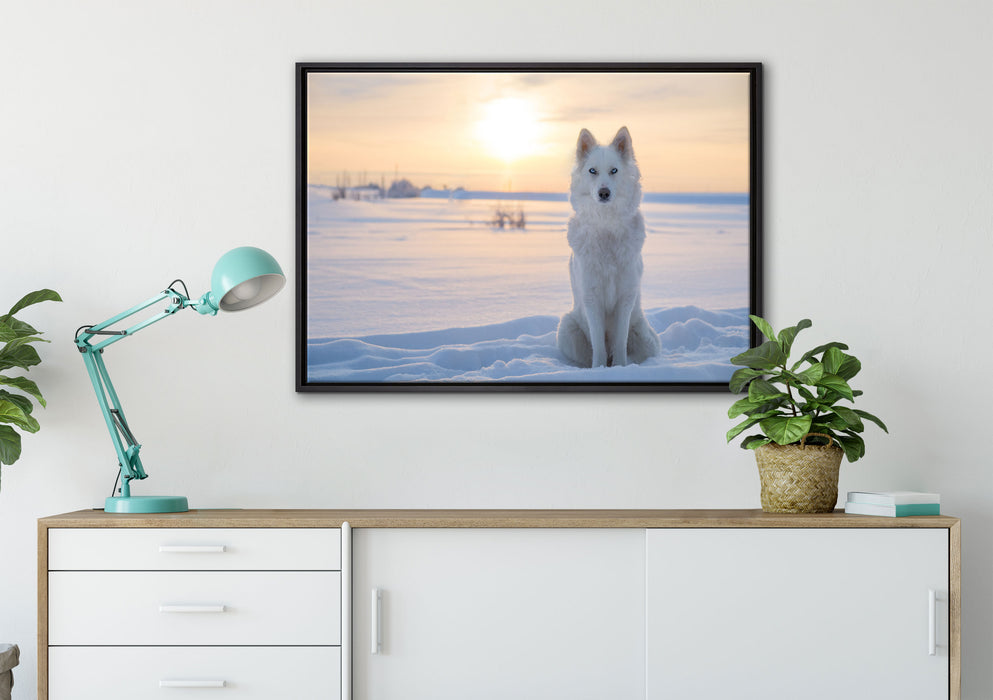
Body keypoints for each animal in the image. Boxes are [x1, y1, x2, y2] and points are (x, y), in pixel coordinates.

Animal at [556, 126, 660, 368]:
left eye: (614, 170)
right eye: (592, 171)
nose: (604, 193)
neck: (607, 226)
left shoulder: (626, 297)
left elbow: (620, 341)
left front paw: (620, 368)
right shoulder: (591, 298)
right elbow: (598, 345)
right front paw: (600, 369)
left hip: (646, 338)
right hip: (567, 329)